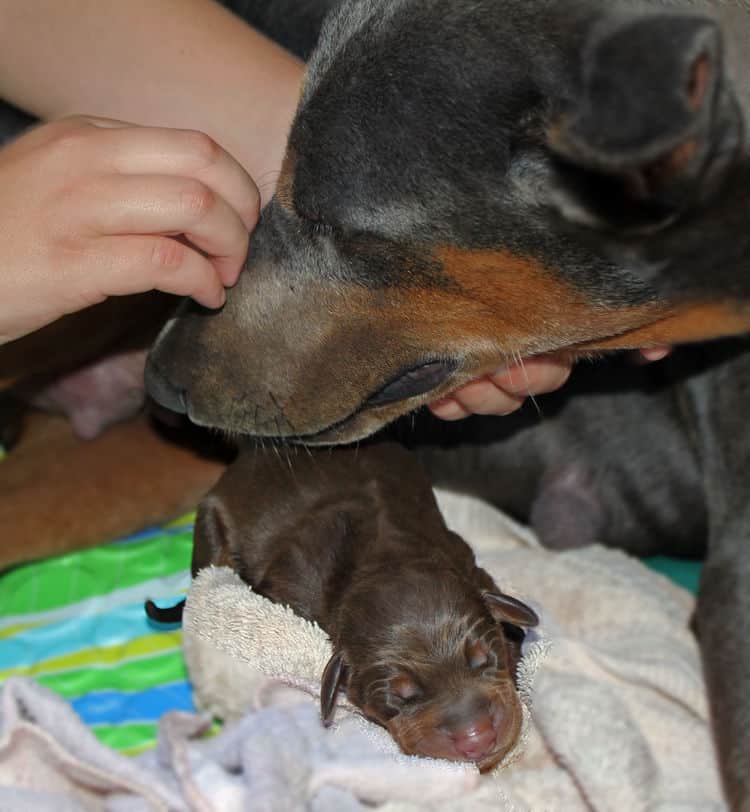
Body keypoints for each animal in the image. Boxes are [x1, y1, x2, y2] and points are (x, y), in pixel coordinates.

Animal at [153, 440, 536, 772]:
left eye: (484, 659)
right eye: (399, 698)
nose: (477, 739)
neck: (385, 558)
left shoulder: (465, 558)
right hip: (209, 529)